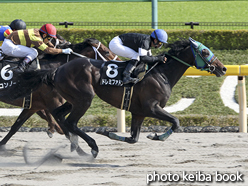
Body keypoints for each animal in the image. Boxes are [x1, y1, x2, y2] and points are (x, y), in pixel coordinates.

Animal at [13, 38, 227, 158]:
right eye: (205, 51)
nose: (223, 68)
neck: (161, 73)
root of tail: (58, 69)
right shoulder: (151, 107)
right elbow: (175, 121)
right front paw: (157, 136)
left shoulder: (139, 112)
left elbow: (133, 139)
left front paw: (112, 133)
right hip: (85, 98)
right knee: (71, 122)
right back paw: (92, 146)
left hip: (73, 98)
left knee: (59, 115)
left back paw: (77, 146)